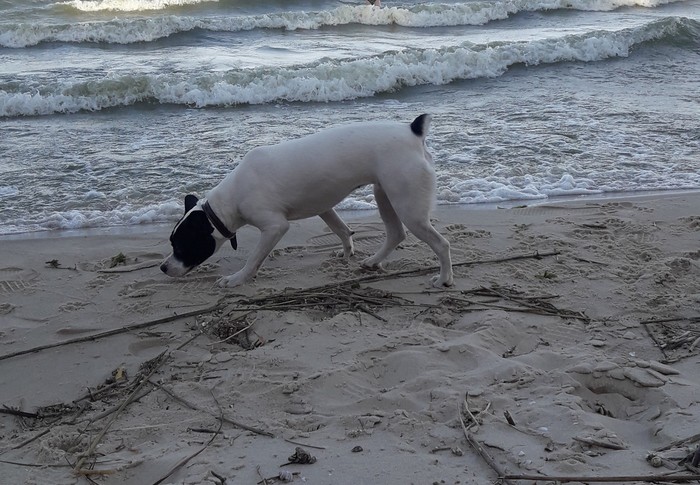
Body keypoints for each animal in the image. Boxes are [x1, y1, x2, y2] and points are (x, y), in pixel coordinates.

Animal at [159, 113, 454, 288]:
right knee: (395, 233)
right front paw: (347, 251)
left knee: (441, 244)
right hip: (385, 195)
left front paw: (237, 279)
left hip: (407, 205)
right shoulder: (324, 207)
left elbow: (254, 258)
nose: (163, 267)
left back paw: (444, 279)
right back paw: (373, 261)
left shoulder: (275, 227)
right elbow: (341, 230)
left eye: (182, 246)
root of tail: (412, 133)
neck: (227, 200)